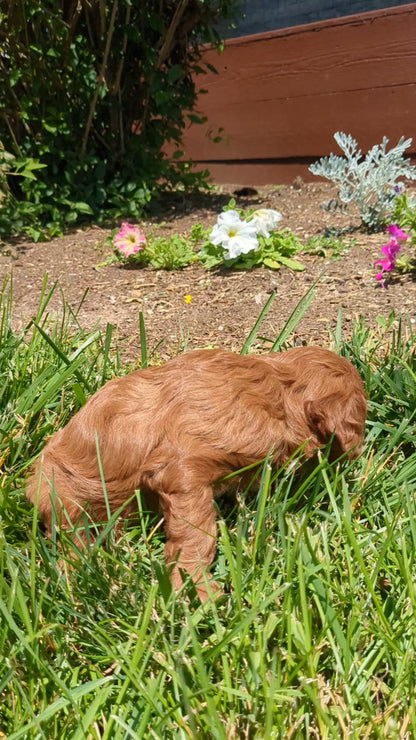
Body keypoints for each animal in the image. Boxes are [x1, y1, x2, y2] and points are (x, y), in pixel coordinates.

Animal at [26, 348, 366, 600]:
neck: (278, 392)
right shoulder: (184, 467)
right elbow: (197, 531)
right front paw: (196, 587)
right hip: (62, 494)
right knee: (74, 538)